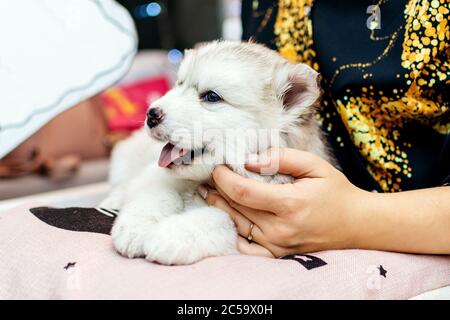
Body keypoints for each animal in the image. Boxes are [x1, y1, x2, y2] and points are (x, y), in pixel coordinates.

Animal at [101, 40, 334, 264]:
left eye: (212, 96)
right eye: (179, 84)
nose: (151, 114)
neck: (200, 181)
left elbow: (214, 218)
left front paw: (168, 236)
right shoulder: (155, 175)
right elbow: (158, 195)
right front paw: (134, 228)